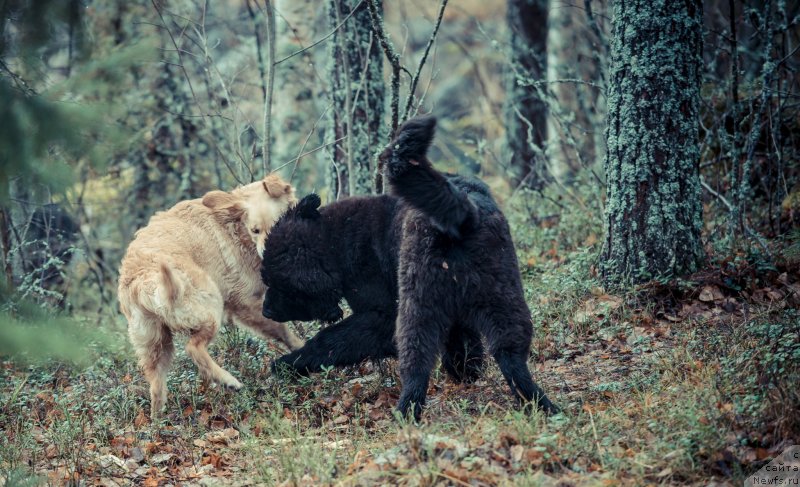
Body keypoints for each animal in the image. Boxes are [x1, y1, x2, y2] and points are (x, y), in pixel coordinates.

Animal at [118, 175, 304, 420]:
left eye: (276, 226)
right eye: (255, 230)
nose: (268, 254)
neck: (236, 228)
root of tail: (141, 279)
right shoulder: (245, 303)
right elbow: (281, 329)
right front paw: (302, 346)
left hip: (155, 343)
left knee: (156, 385)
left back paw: (158, 419)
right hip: (210, 305)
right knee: (194, 348)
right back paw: (228, 380)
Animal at [262, 115, 556, 420]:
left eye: (274, 280)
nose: (266, 310)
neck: (335, 243)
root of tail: (465, 214)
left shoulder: (381, 310)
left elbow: (333, 339)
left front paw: (287, 363)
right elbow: (463, 339)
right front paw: (465, 370)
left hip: (418, 301)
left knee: (417, 361)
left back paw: (406, 412)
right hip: (502, 291)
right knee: (510, 352)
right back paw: (539, 403)